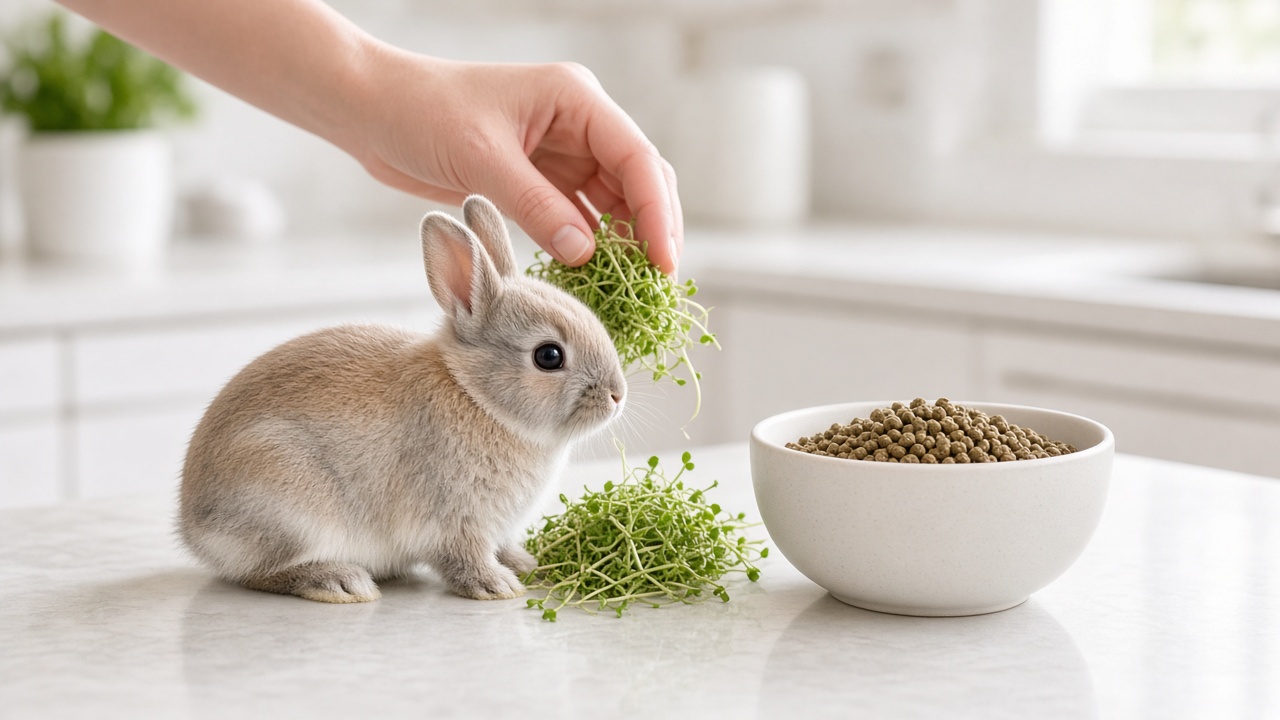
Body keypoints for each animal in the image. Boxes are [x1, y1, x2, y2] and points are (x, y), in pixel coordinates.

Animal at [178, 195, 627, 604]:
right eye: (548, 356)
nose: (617, 395)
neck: (476, 396)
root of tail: (193, 528)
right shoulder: (454, 519)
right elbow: (464, 556)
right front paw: (496, 585)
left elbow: (502, 546)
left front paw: (527, 564)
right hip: (288, 502)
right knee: (259, 573)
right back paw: (339, 581)